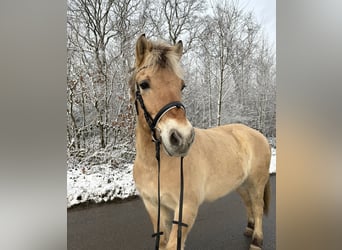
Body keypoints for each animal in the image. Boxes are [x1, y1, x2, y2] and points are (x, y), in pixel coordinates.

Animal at [130, 33, 272, 250]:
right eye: (144, 84)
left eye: (182, 85)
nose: (182, 138)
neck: (155, 166)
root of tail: (257, 134)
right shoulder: (153, 206)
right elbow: (162, 241)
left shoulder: (186, 208)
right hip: (241, 184)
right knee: (248, 203)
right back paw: (249, 228)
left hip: (257, 182)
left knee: (257, 206)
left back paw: (256, 240)